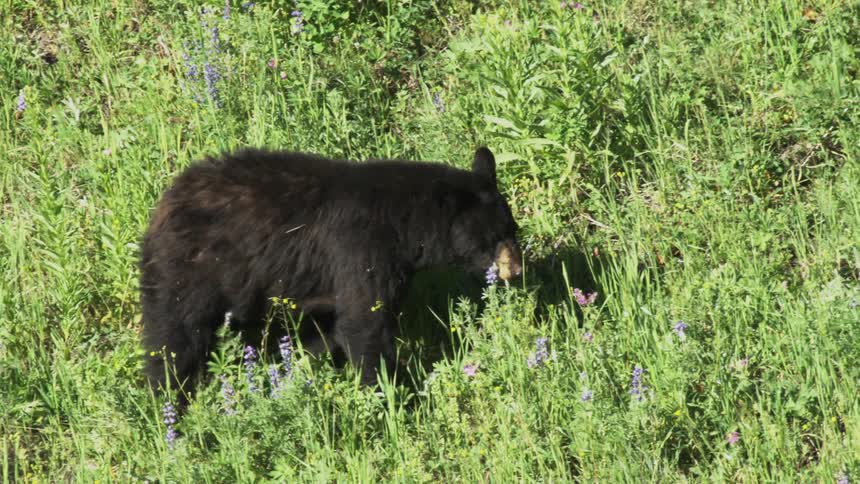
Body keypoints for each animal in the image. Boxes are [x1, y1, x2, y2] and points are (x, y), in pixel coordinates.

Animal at [139, 146, 522, 395]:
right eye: (492, 238)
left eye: (513, 228)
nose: (516, 270)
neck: (405, 225)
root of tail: (163, 205)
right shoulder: (360, 249)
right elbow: (364, 323)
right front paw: (391, 394)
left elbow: (326, 328)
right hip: (192, 272)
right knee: (175, 338)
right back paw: (171, 402)